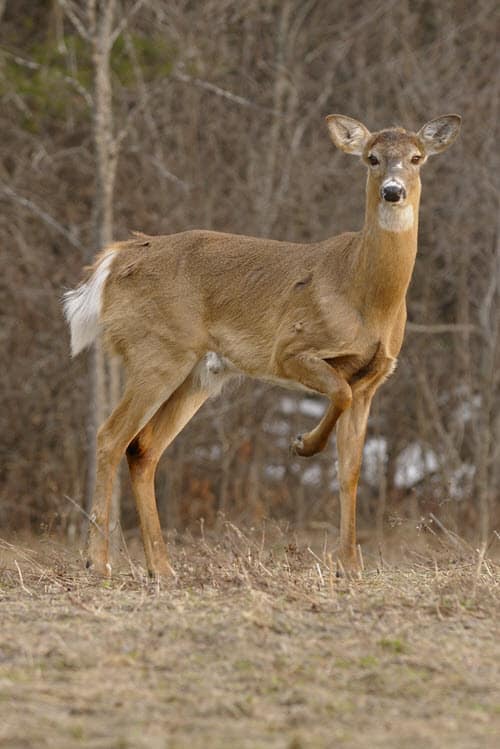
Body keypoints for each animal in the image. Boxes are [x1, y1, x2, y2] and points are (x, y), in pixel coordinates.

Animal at [63, 112, 460, 580]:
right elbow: (338, 393)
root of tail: (116, 260)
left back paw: (162, 567)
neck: (368, 298)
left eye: (416, 158)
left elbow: (351, 469)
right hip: (157, 351)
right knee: (110, 436)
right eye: (372, 158)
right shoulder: (290, 349)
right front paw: (302, 445)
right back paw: (98, 561)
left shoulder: (373, 379)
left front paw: (349, 564)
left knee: (143, 448)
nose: (393, 191)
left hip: (198, 373)